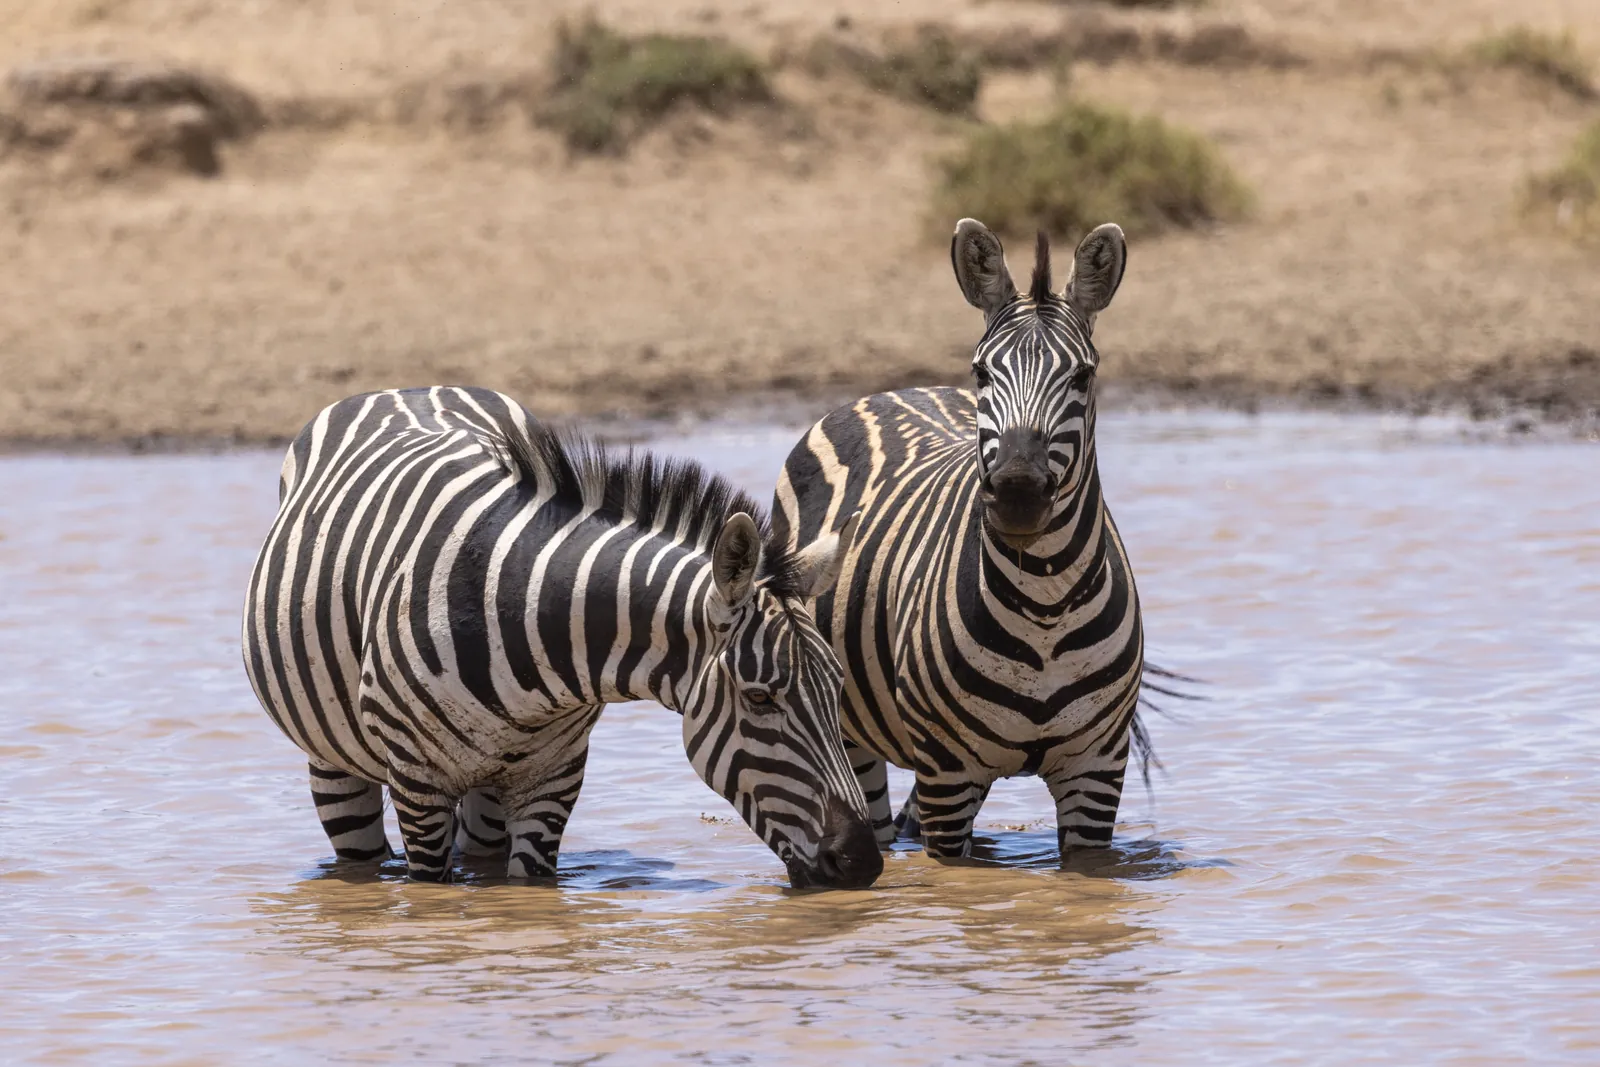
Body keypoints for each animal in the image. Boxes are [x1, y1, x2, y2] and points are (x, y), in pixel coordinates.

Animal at [243, 386, 882, 888]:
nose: (863, 864)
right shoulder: (418, 784)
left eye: (838, 686)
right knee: (358, 853)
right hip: (333, 761)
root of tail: (406, 388)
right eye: (759, 697)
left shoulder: (554, 776)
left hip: (489, 790)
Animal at [771, 218, 1146, 863]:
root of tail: (890, 392)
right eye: (982, 372)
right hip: (849, 729)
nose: (1018, 490)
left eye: (1083, 375)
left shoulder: (1097, 769)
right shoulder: (947, 773)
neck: (1044, 608)